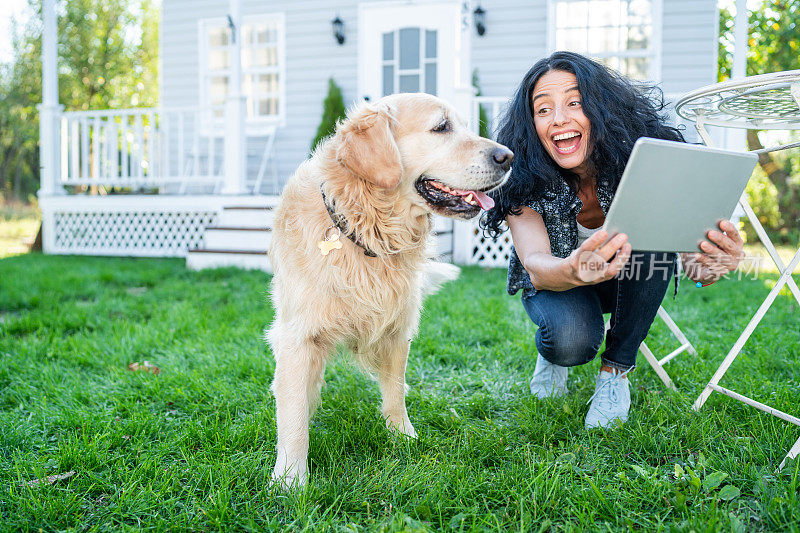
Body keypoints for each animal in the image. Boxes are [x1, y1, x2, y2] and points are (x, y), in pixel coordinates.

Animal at [266, 92, 510, 486]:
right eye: (442, 127)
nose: (509, 157)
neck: (366, 230)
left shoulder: (398, 329)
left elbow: (395, 390)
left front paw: (402, 437)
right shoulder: (297, 337)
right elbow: (293, 414)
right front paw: (290, 479)